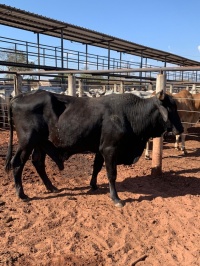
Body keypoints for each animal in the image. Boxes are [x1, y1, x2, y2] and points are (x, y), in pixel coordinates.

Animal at [4, 90, 183, 207]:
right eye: (170, 109)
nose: (180, 129)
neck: (130, 115)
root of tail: (20, 96)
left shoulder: (100, 149)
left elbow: (96, 167)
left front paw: (94, 185)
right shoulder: (110, 149)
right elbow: (111, 174)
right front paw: (116, 198)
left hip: (40, 144)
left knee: (38, 162)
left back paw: (51, 187)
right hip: (27, 142)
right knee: (17, 163)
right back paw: (21, 194)